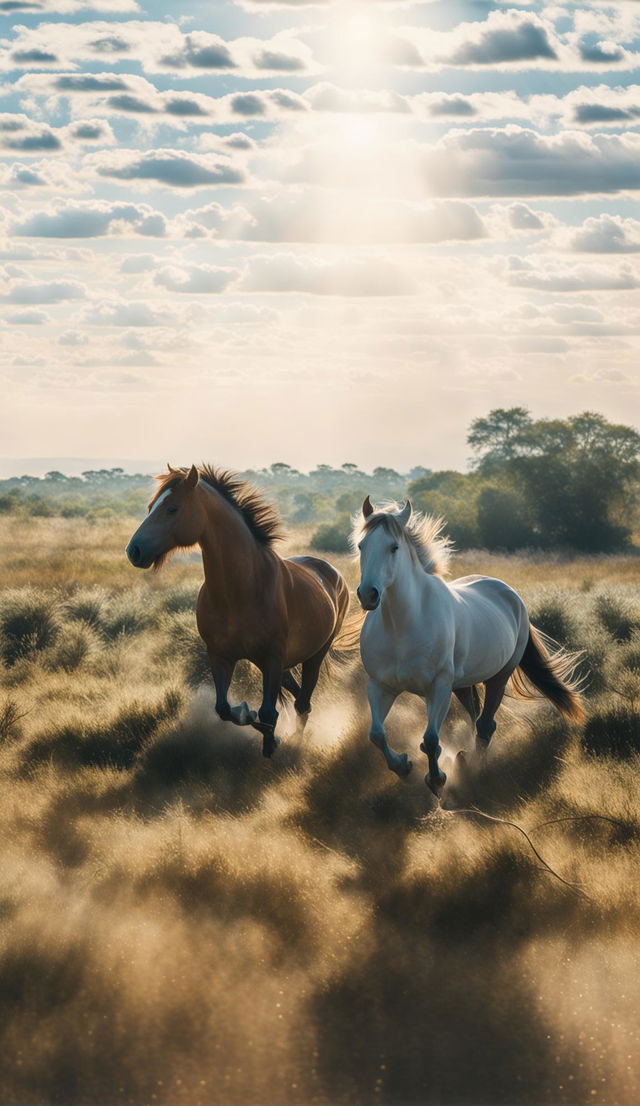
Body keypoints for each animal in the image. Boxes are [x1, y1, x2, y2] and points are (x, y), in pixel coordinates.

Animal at [126, 462, 351, 756]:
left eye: (172, 508)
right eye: (151, 506)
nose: (134, 550)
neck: (239, 592)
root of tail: (333, 573)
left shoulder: (271, 658)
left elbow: (267, 713)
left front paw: (271, 741)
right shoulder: (220, 655)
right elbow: (224, 708)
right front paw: (247, 713)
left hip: (314, 655)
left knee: (303, 702)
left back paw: (295, 742)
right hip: (284, 665)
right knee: (297, 697)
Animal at [355, 499, 588, 796]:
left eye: (393, 547)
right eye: (361, 546)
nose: (368, 595)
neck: (402, 626)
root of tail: (511, 595)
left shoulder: (439, 687)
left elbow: (431, 738)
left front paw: (437, 780)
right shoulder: (381, 685)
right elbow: (376, 734)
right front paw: (403, 767)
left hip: (498, 677)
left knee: (485, 725)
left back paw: (474, 769)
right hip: (462, 685)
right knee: (475, 717)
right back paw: (463, 758)